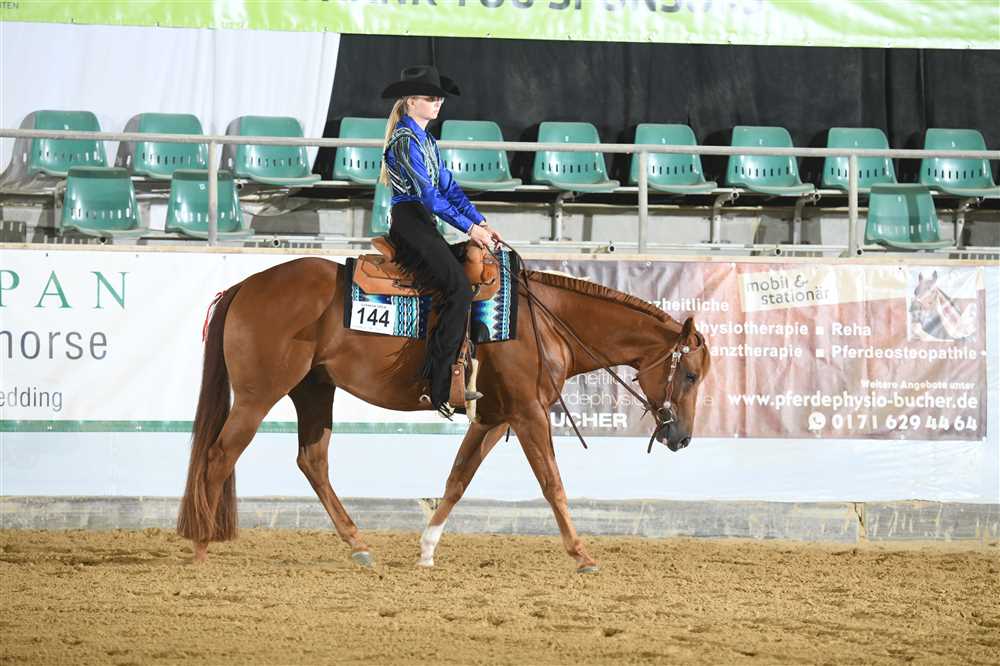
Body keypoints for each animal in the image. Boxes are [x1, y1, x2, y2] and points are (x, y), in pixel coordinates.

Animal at [177, 255, 711, 573]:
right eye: (689, 376)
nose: (682, 437)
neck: (545, 323)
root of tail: (246, 284)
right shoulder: (528, 412)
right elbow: (552, 483)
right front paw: (582, 554)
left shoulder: (494, 416)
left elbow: (458, 478)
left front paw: (428, 548)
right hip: (258, 395)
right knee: (219, 457)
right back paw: (201, 548)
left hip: (313, 391)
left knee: (312, 461)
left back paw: (358, 544)